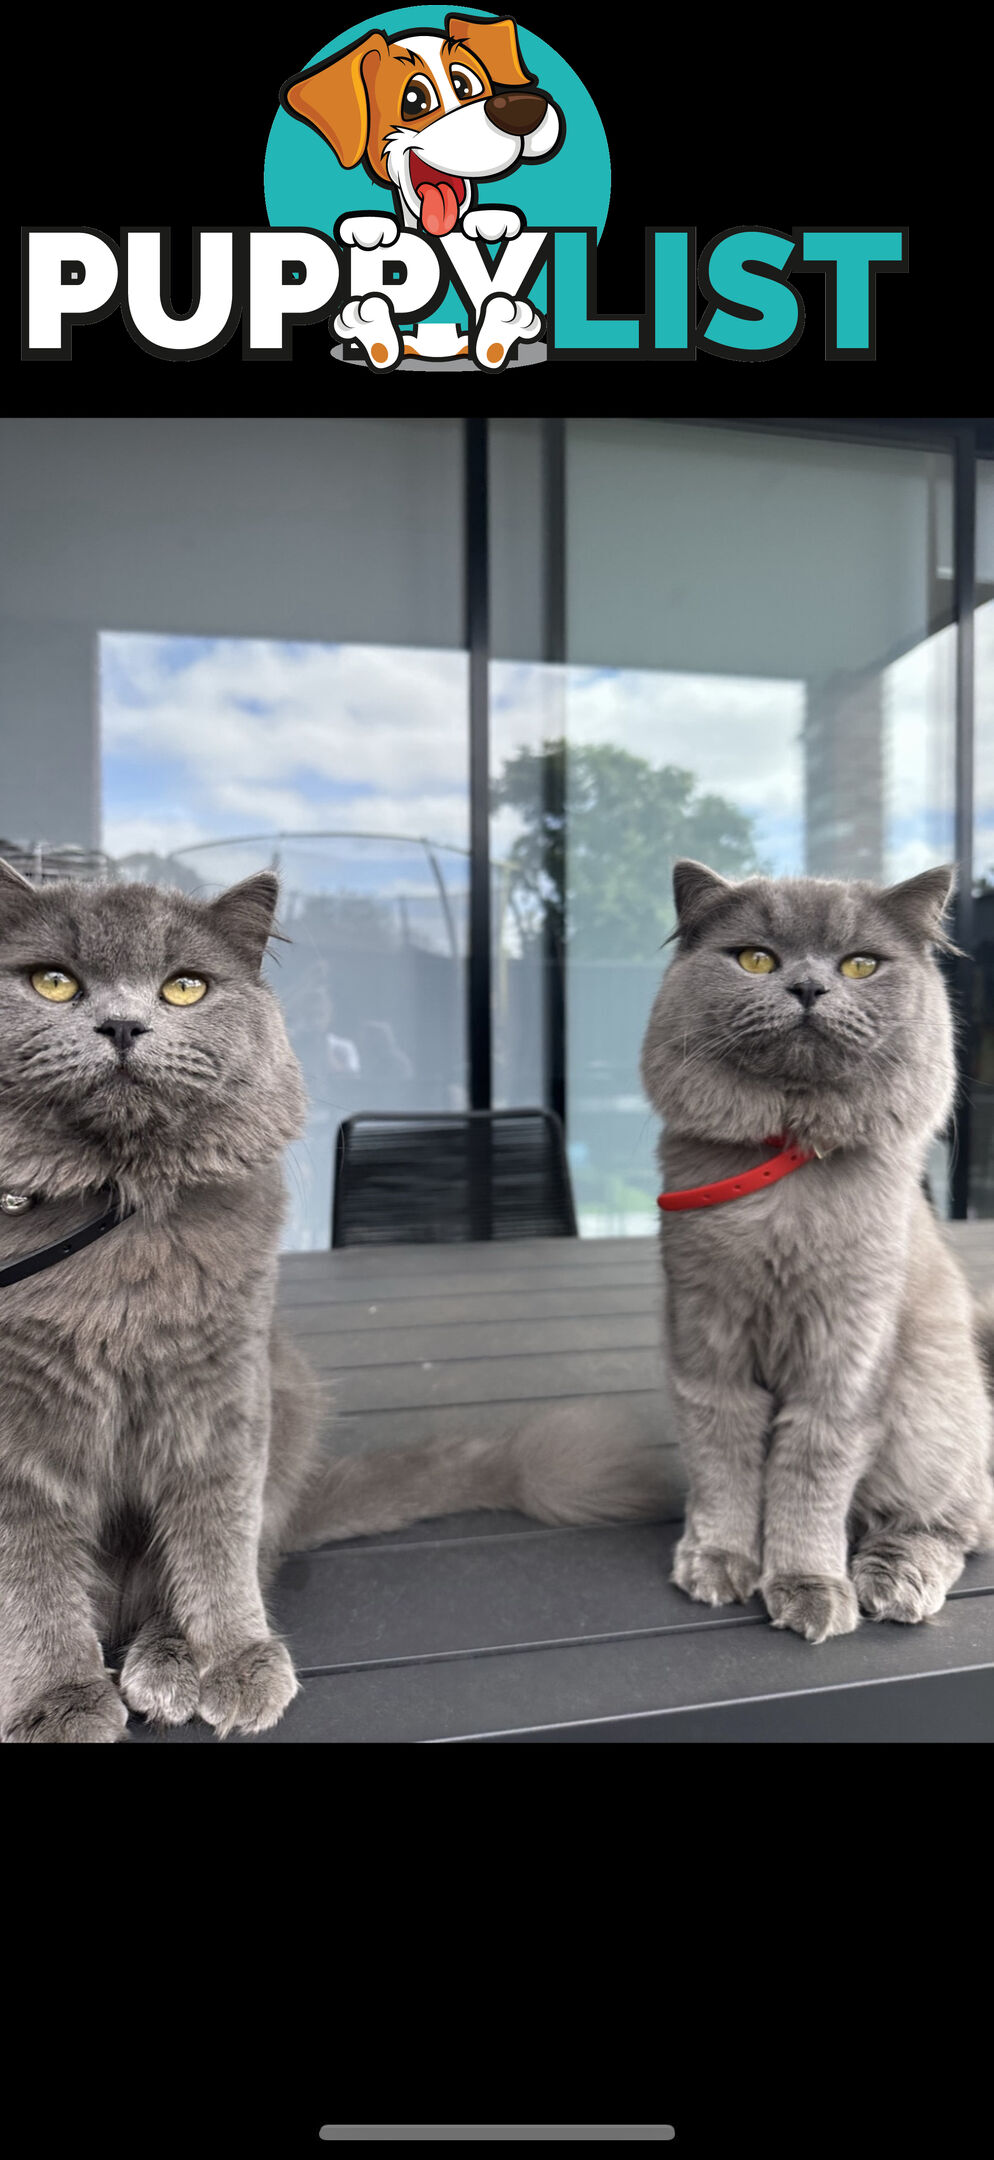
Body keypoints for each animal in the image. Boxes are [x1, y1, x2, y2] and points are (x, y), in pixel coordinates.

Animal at [3, 855, 665, 1736]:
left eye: (184, 988)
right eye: (53, 982)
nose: (121, 1026)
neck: (121, 1216)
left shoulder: (224, 1399)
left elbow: (216, 1545)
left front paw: (232, 1659)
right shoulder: (16, 1443)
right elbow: (33, 1582)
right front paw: (59, 1700)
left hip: (287, 1396)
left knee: (240, 1553)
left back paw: (169, 1660)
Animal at [635, 855, 994, 1632]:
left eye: (860, 964)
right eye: (755, 959)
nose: (807, 987)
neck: (787, 1168)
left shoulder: (844, 1361)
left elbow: (808, 1478)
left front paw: (808, 1585)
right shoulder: (709, 1343)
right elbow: (723, 1462)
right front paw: (718, 1561)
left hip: (932, 1417)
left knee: (952, 1524)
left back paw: (892, 1582)